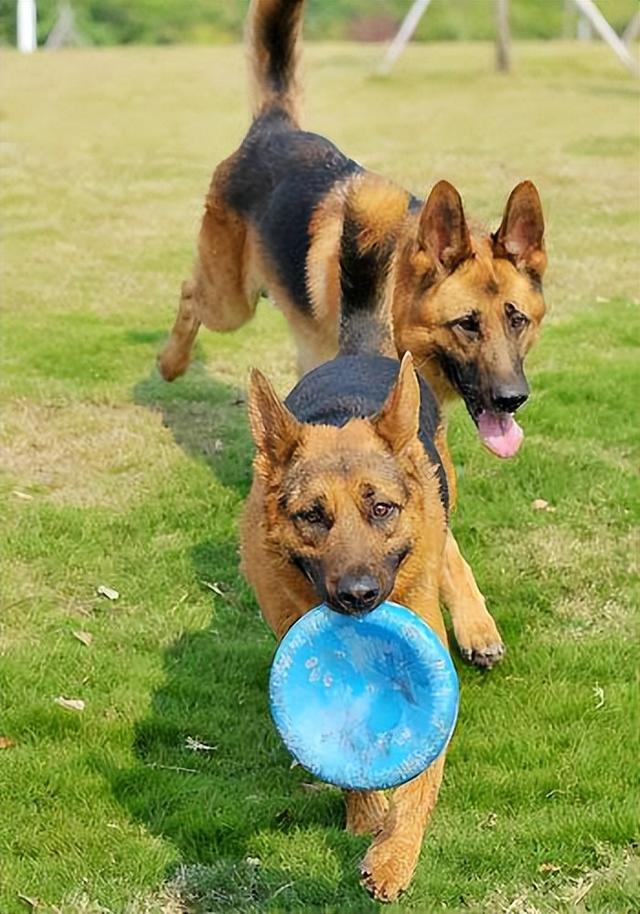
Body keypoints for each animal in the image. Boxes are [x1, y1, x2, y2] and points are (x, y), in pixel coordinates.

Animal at [160, 0, 544, 664]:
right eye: (466, 323)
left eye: (516, 319)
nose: (512, 398)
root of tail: (272, 128)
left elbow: (441, 543)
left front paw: (473, 620)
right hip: (230, 298)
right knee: (190, 296)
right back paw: (170, 362)